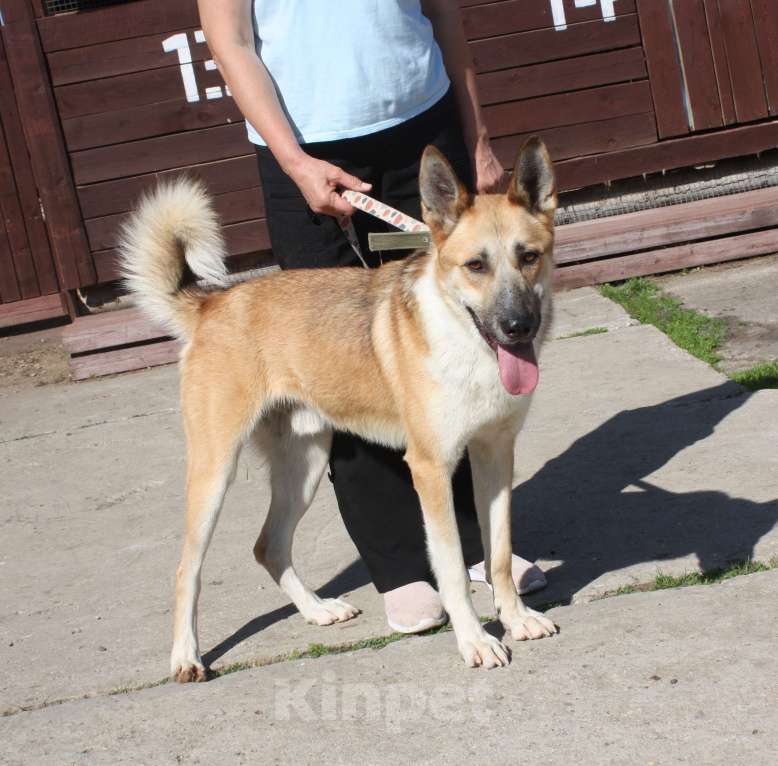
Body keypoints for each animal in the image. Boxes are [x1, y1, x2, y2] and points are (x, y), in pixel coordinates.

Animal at [119, 138, 556, 684]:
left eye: (529, 257)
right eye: (475, 265)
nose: (518, 326)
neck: (467, 344)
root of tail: (213, 304)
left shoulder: (494, 455)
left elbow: (497, 552)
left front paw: (516, 618)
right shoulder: (430, 469)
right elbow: (453, 569)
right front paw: (474, 640)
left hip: (303, 466)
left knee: (269, 545)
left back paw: (317, 610)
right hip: (214, 471)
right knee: (187, 569)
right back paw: (185, 656)